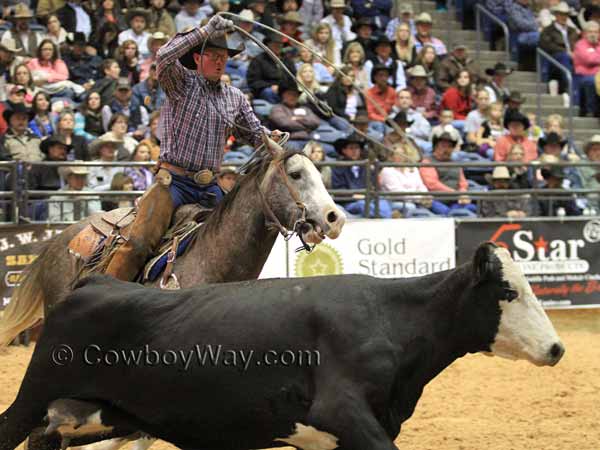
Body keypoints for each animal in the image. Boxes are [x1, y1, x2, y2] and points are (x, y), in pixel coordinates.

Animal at [0, 243, 564, 450]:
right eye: (509, 292)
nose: (557, 349)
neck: (391, 316)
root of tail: (93, 282)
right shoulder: (341, 410)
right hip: (35, 394)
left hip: (98, 414)